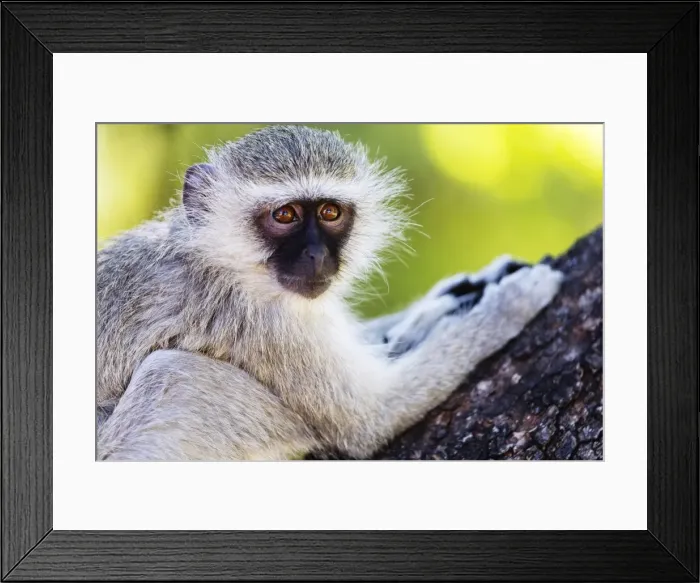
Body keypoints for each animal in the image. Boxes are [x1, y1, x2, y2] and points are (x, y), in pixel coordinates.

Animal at [96, 124, 563, 461]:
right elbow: (370, 419)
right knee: (177, 371)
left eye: (330, 212)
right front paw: (508, 306)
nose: (317, 255)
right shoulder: (260, 319)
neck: (221, 258)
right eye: (285, 215)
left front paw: (462, 290)